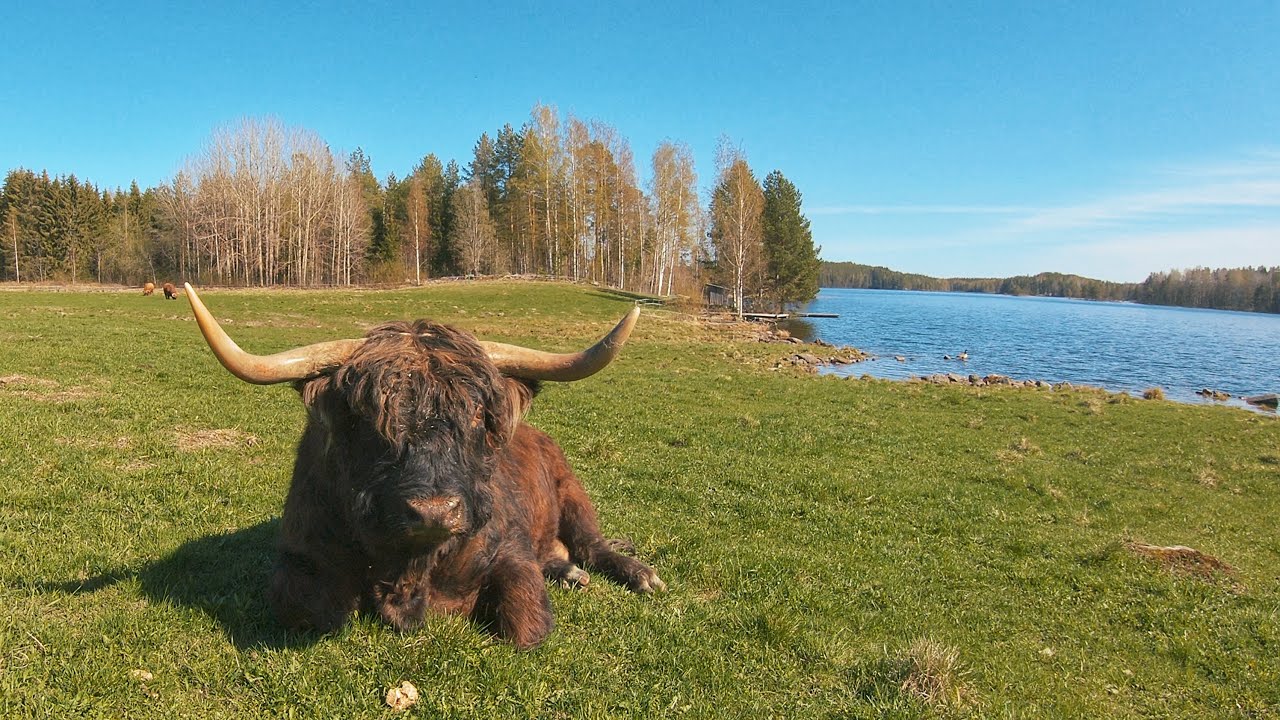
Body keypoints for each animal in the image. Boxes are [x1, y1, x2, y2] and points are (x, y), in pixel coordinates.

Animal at [183, 284, 664, 648]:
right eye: (366, 416)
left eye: (477, 413)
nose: (434, 511)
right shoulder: (299, 558)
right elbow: (307, 609)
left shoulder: (511, 552)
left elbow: (525, 623)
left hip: (573, 495)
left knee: (591, 545)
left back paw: (636, 575)